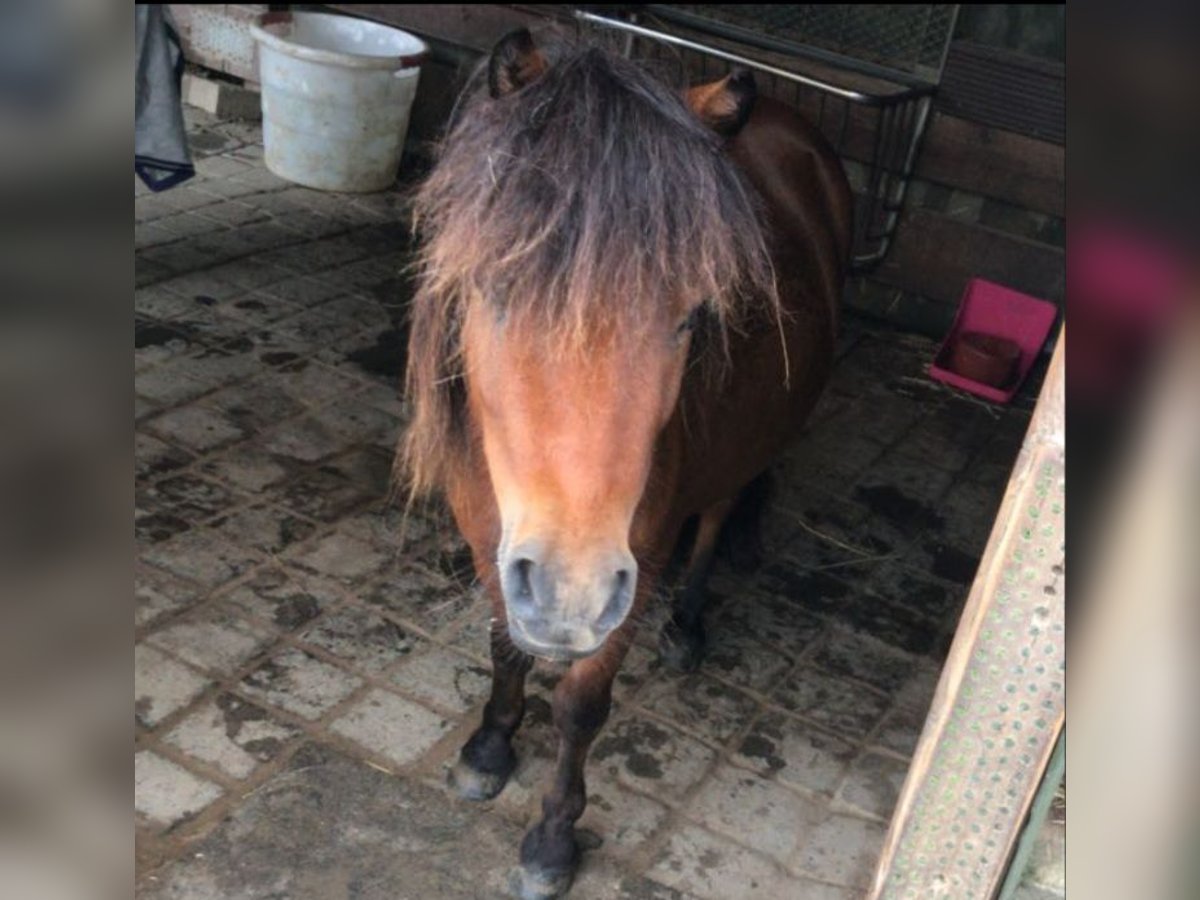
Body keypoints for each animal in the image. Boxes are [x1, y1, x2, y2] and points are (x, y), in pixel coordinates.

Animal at [403, 28, 854, 900]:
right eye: (494, 285)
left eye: (690, 316)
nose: (572, 594)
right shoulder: (490, 539)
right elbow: (505, 643)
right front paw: (487, 750)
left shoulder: (630, 564)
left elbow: (581, 707)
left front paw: (552, 840)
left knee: (718, 514)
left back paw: (687, 626)